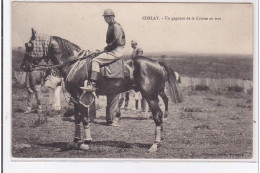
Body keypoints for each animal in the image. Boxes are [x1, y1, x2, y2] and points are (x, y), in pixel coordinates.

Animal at [20, 29, 183, 152]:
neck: (75, 64)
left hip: (150, 96)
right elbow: (77, 119)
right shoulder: (75, 98)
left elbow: (85, 118)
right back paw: (160, 140)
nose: (23, 67)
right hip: (154, 94)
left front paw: (86, 142)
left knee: (158, 116)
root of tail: (157, 63)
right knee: (159, 114)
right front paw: (76, 141)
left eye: (28, 45)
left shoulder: (80, 96)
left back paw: (155, 145)